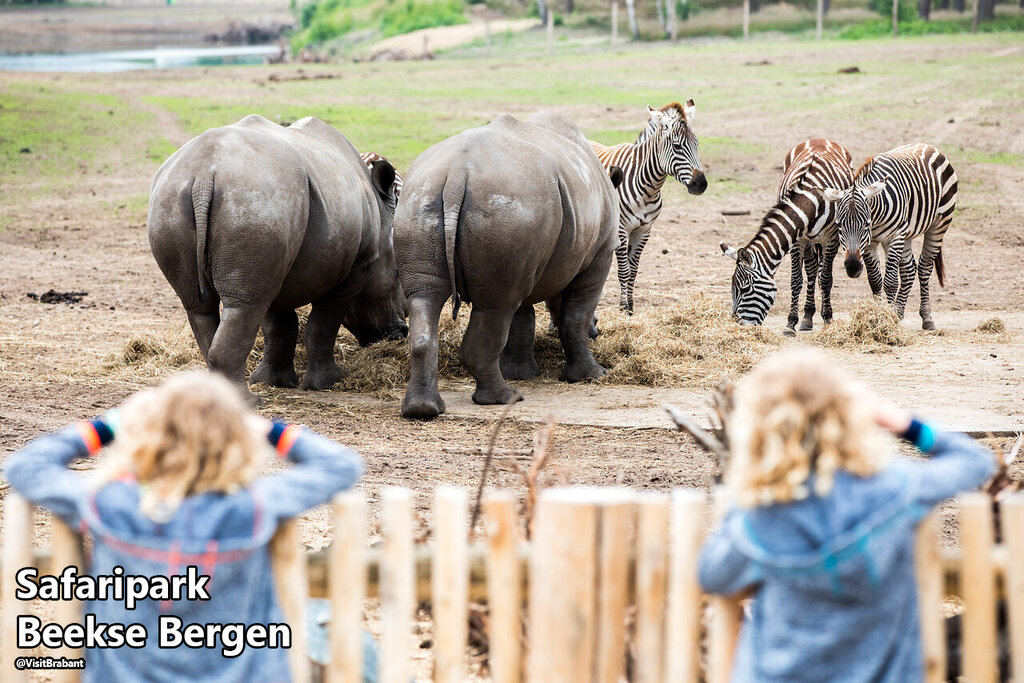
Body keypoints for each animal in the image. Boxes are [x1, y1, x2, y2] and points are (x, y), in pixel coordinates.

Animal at [148, 114, 403, 397]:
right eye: (397, 276)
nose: (401, 332)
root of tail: (204, 174)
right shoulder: (359, 264)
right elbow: (324, 323)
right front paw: (329, 383)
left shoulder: (280, 261)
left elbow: (278, 324)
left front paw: (274, 381)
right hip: (258, 201)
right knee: (245, 305)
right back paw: (250, 402)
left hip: (177, 202)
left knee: (204, 306)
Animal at [395, 112, 622, 419]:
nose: (597, 332)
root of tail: (456, 174)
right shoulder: (601, 252)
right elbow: (574, 315)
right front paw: (593, 375)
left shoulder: (532, 255)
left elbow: (522, 318)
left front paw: (521, 373)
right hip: (510, 207)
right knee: (496, 306)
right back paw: (505, 398)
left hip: (421, 199)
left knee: (430, 297)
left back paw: (423, 410)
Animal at [593, 100, 704, 313]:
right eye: (677, 146)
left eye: (697, 144)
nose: (701, 184)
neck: (648, 188)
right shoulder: (621, 229)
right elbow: (624, 270)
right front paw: (623, 307)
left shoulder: (644, 230)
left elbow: (634, 270)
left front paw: (630, 307)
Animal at [720, 139, 856, 333]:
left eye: (745, 289)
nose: (737, 325)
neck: (811, 200)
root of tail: (819, 139)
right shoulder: (798, 240)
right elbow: (796, 280)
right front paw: (791, 322)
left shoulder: (832, 238)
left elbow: (826, 279)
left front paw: (828, 319)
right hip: (808, 241)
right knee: (812, 269)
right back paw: (807, 317)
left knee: (820, 273)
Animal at [823, 143, 958, 329]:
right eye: (839, 225)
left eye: (866, 224)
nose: (852, 267)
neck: (875, 216)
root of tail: (927, 146)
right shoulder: (870, 243)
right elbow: (875, 279)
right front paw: (878, 314)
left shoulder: (894, 236)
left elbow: (890, 281)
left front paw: (887, 317)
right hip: (907, 234)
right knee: (909, 269)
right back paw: (899, 314)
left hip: (939, 223)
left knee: (924, 267)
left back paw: (927, 318)